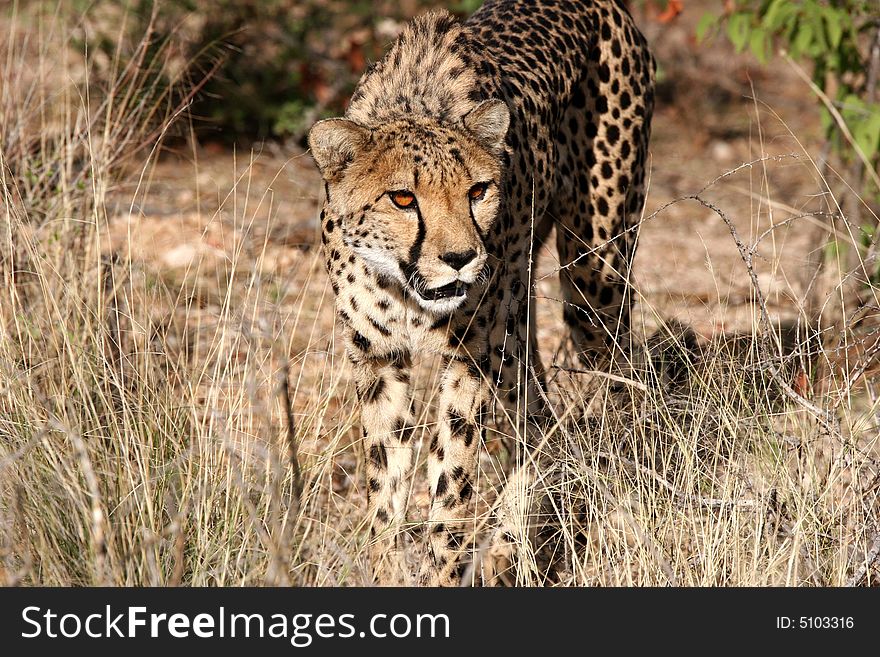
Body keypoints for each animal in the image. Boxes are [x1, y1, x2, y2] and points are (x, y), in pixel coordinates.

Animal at [308, 0, 652, 584]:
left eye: (478, 190)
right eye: (403, 198)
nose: (461, 258)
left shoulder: (469, 355)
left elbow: (451, 480)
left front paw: (445, 567)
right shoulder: (378, 359)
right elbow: (384, 483)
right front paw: (387, 567)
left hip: (592, 281)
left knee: (621, 381)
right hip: (516, 323)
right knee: (537, 414)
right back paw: (512, 546)